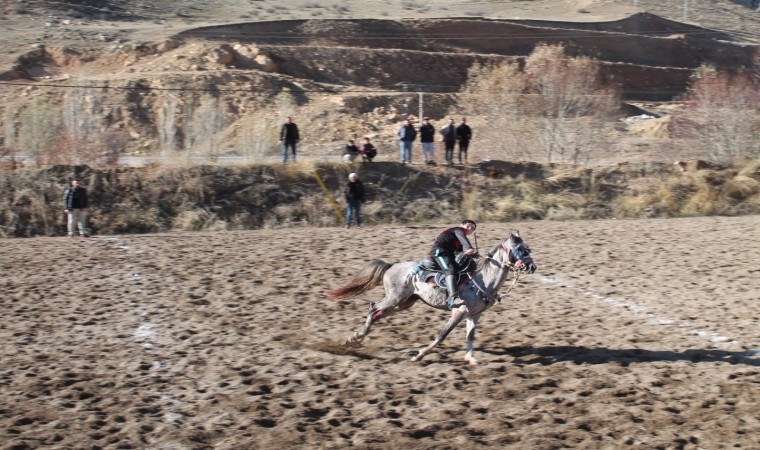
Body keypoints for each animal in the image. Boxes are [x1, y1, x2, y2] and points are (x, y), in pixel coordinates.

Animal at [330, 230, 536, 364]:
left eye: (528, 249)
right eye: (520, 249)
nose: (532, 267)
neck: (483, 279)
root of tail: (391, 265)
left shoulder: (474, 315)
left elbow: (470, 337)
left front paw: (470, 358)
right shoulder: (459, 312)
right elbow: (442, 335)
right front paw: (419, 355)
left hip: (404, 303)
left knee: (377, 314)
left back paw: (354, 339)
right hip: (394, 299)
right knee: (373, 308)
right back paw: (357, 337)